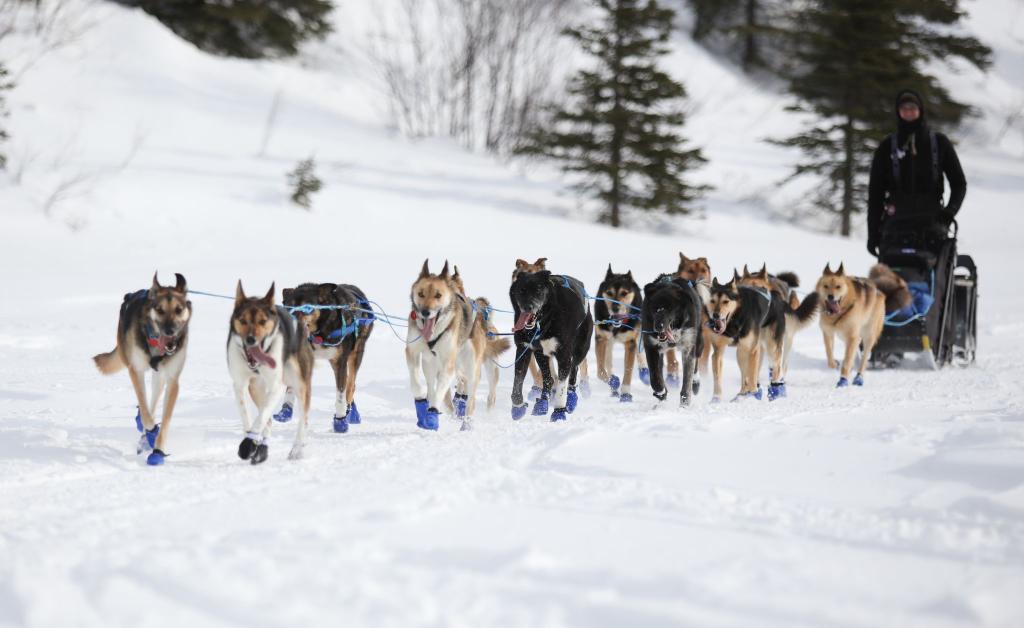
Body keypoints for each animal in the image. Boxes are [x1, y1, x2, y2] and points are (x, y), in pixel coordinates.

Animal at [92, 272, 192, 465]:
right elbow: (145, 410)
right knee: (145, 405)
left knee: (153, 401)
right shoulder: (135, 370)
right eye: (160, 310)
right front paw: (151, 431)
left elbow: (165, 418)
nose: (170, 332)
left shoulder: (172, 379)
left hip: (159, 377)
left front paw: (158, 449)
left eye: (178, 309)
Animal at [643, 274, 708, 403]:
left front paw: (684, 403)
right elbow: (654, 376)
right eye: (655, 308)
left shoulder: (688, 347)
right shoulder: (651, 347)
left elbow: (687, 382)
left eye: (669, 309)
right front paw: (661, 392)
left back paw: (696, 383)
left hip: (698, 342)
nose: (658, 326)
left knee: (696, 362)